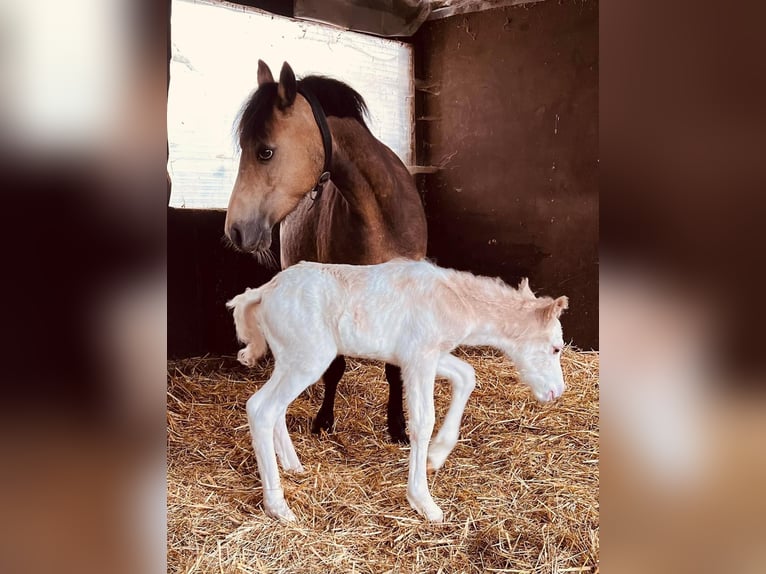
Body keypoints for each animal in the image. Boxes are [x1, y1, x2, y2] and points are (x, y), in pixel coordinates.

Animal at [222, 60, 428, 444]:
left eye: (265, 151)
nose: (236, 230)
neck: (379, 216)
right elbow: (335, 368)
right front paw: (323, 420)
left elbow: (394, 369)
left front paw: (397, 427)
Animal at [225, 260, 568, 520]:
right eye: (555, 348)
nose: (556, 392)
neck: (453, 300)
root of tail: (264, 291)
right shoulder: (420, 356)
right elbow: (422, 422)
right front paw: (424, 502)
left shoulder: (422, 356)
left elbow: (467, 376)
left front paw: (437, 455)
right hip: (308, 358)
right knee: (261, 408)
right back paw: (278, 505)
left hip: (290, 359)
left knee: (277, 409)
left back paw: (294, 466)